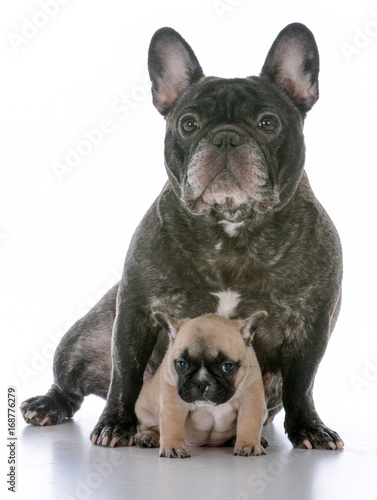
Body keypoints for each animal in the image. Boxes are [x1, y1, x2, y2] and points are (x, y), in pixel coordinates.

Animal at [20, 23, 344, 452]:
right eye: (189, 124)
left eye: (268, 123)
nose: (225, 137)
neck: (232, 229)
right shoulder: (136, 311)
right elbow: (125, 374)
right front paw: (116, 424)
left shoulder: (312, 325)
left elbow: (302, 382)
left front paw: (309, 427)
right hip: (83, 339)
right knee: (74, 384)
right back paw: (50, 404)